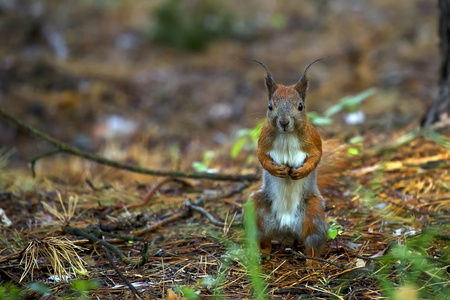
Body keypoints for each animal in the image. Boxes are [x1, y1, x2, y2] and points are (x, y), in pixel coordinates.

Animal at [248, 59, 328, 258]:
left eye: (300, 106)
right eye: (270, 106)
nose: (284, 122)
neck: (286, 135)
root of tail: (285, 227)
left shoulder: (314, 140)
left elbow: (317, 156)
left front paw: (301, 172)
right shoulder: (263, 141)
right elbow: (261, 157)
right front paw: (277, 170)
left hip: (314, 216)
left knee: (312, 242)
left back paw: (312, 261)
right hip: (258, 212)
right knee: (263, 237)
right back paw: (263, 252)